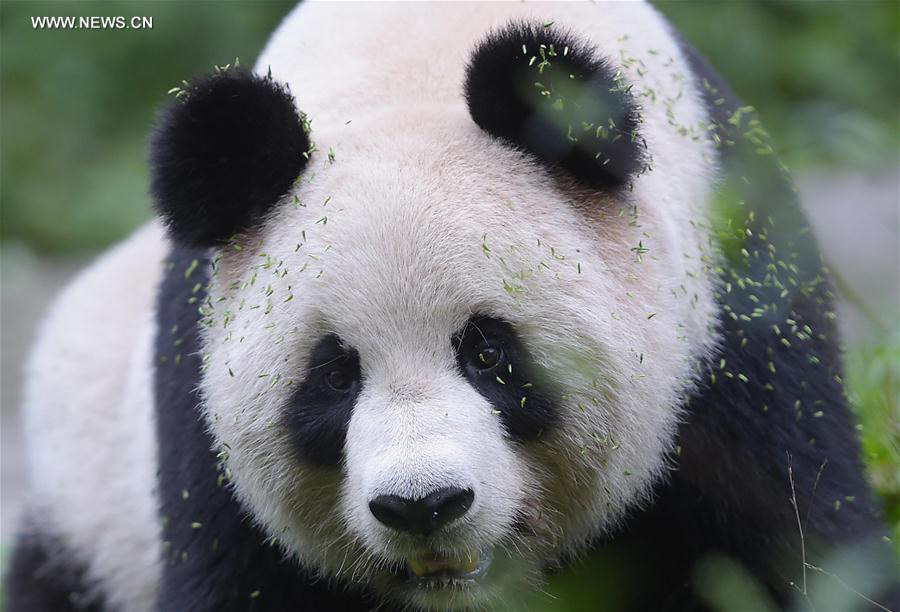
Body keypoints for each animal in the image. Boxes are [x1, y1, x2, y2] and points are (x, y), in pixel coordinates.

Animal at [6, 2, 897, 611]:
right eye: (334, 377)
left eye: (489, 353)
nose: (423, 505)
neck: (413, 60)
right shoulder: (202, 423)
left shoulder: (728, 327)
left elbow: (799, 539)